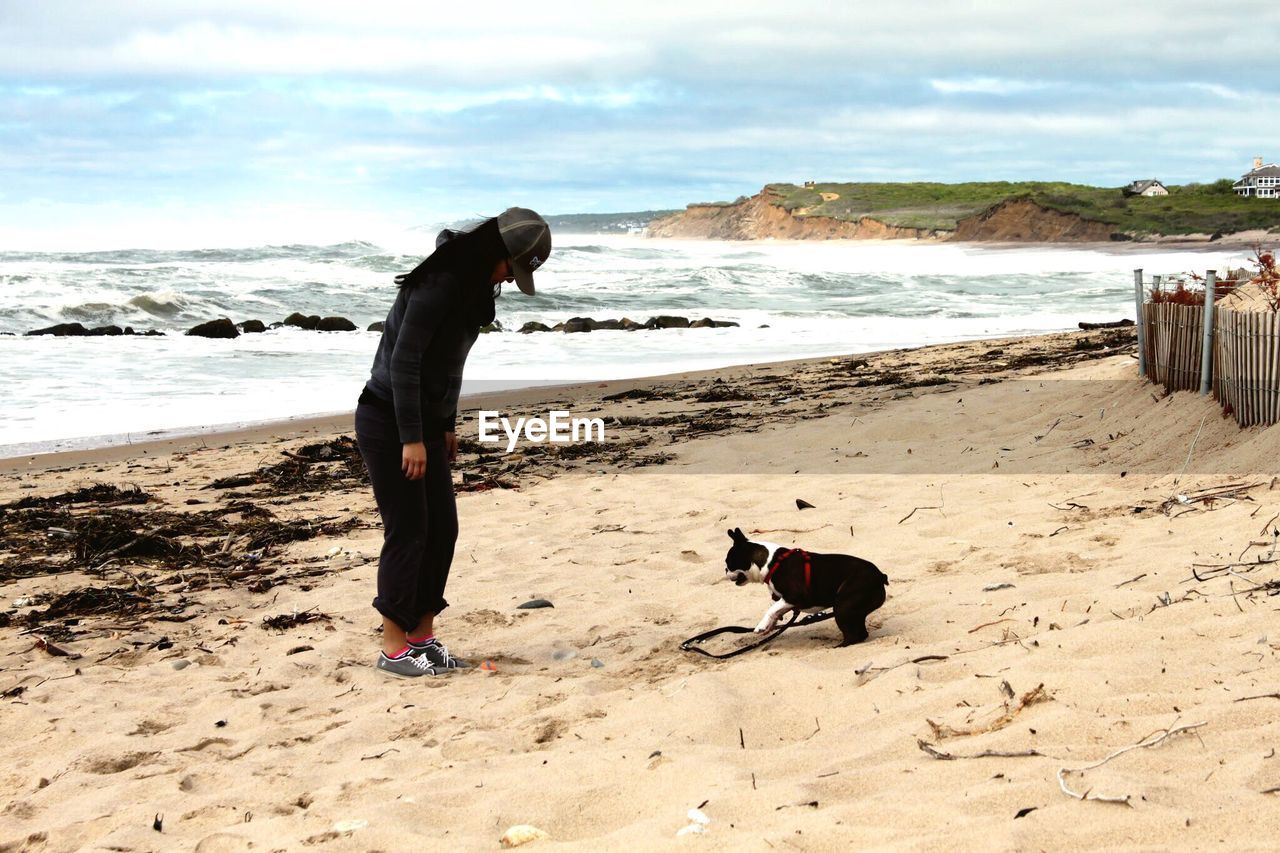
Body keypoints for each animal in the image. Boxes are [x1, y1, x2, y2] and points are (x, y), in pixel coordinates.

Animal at [721, 525, 890, 645]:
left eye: (729, 562)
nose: (725, 570)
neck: (770, 563)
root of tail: (880, 576)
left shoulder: (795, 595)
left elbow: (772, 608)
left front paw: (761, 625)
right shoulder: (789, 601)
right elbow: (777, 609)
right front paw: (771, 624)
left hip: (843, 605)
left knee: (854, 634)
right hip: (853, 609)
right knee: (860, 631)